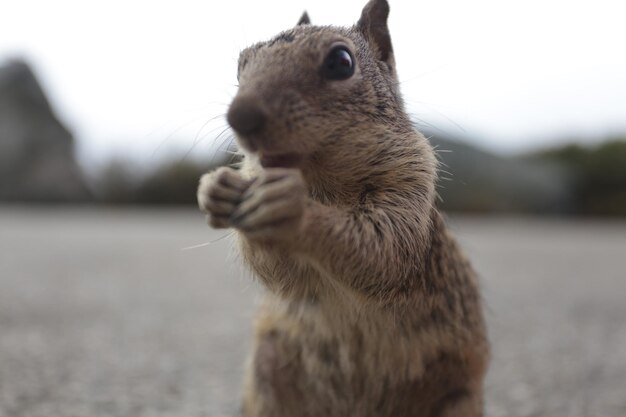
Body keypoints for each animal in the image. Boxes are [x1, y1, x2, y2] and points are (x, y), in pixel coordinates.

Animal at [195, 1, 488, 414]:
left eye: (340, 62)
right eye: (241, 65)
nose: (240, 116)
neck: (317, 180)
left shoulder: (410, 182)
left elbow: (383, 251)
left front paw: (294, 209)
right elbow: (282, 276)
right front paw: (215, 189)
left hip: (457, 397)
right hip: (267, 376)